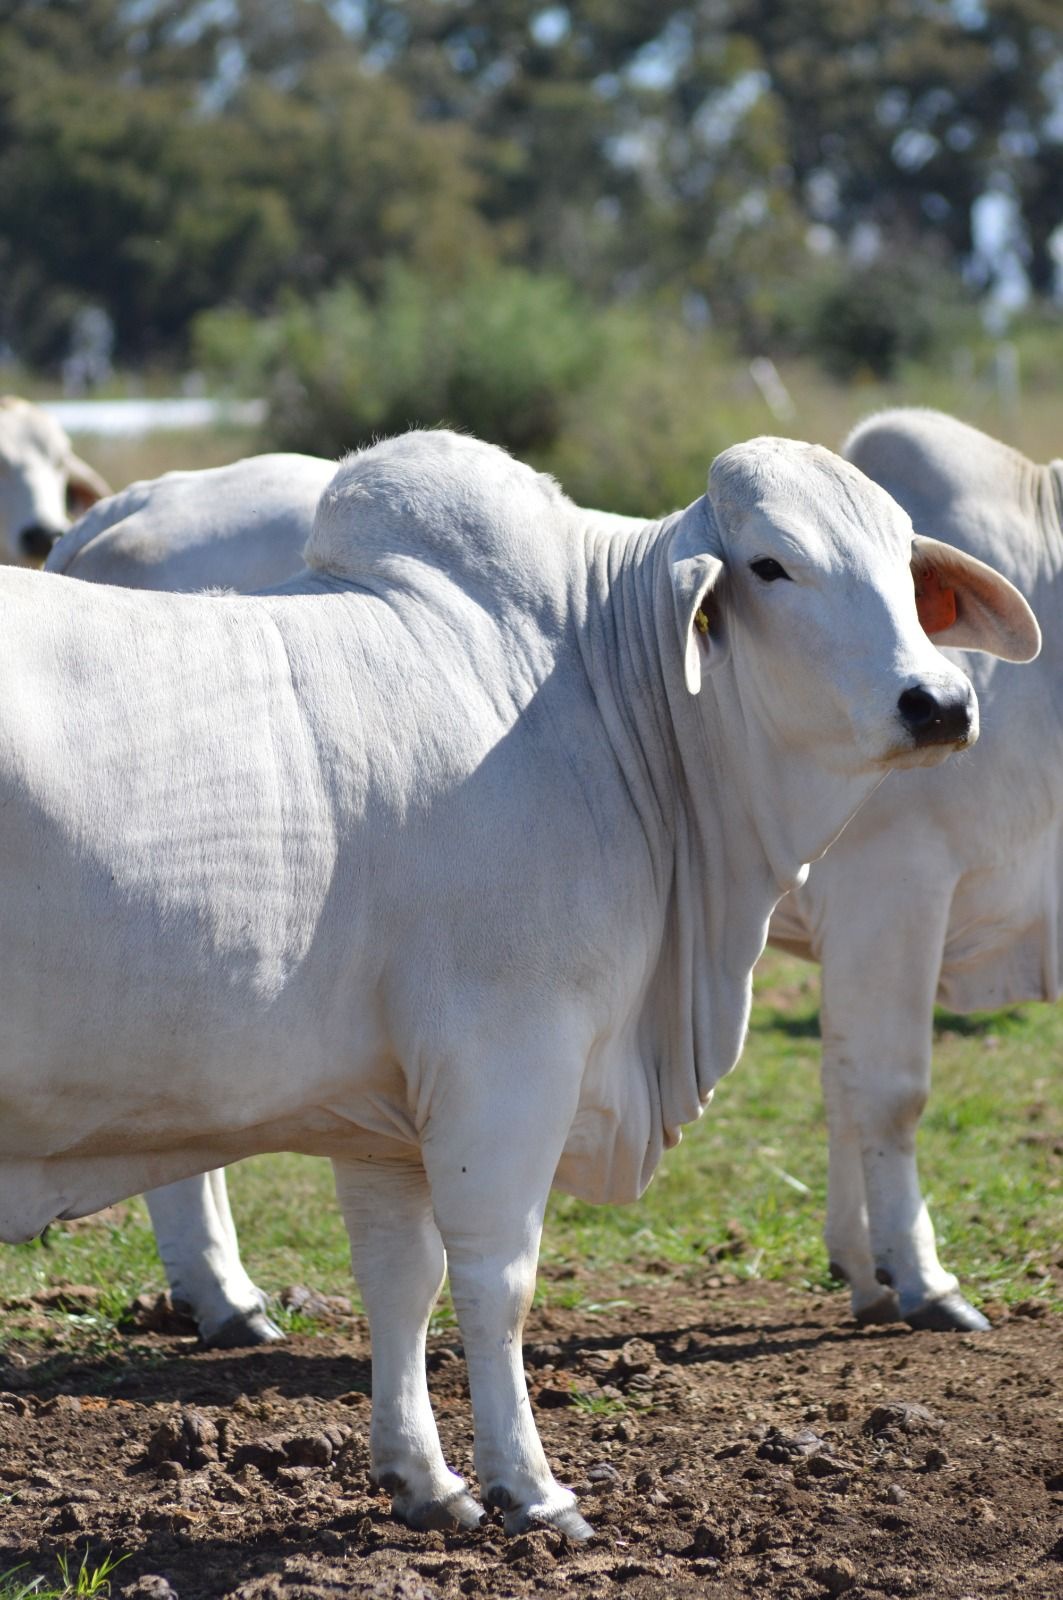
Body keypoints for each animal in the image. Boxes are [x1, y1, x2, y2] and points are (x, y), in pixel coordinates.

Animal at [2, 429, 1036, 1537]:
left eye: (901, 557)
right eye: (770, 564)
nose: (939, 701)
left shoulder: (377, 1111)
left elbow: (400, 1280)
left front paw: (424, 1477)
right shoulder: (506, 1061)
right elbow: (497, 1280)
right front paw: (531, 1488)